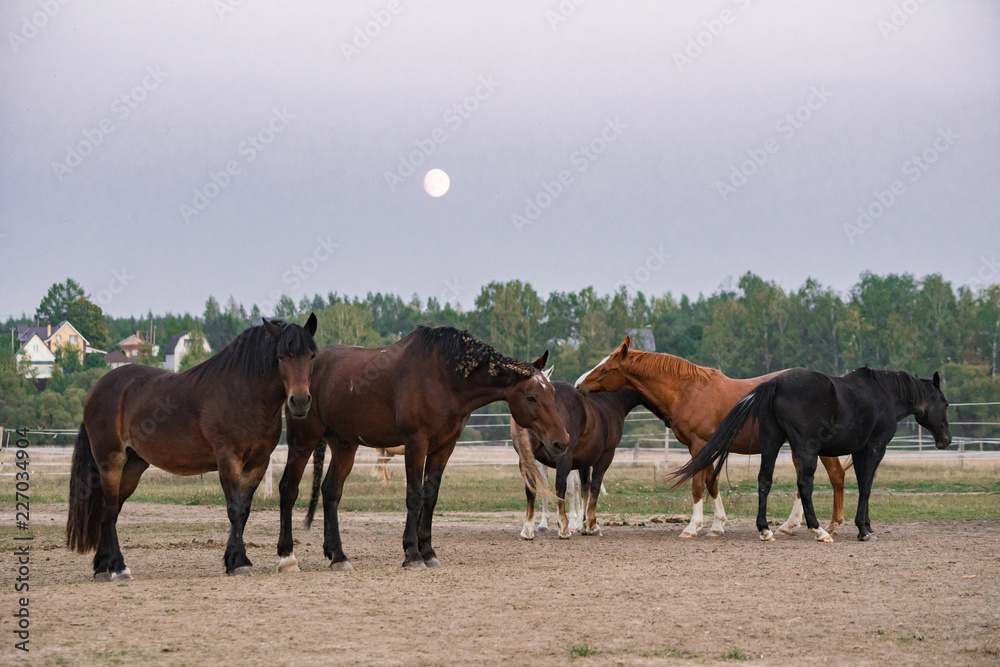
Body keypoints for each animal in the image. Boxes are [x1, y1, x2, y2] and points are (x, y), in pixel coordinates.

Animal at [67, 314, 316, 580]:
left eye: (311, 355)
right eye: (281, 357)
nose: (300, 401)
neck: (242, 394)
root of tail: (96, 390)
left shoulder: (258, 464)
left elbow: (245, 511)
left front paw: (232, 559)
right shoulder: (228, 460)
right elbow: (234, 509)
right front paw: (240, 562)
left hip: (133, 466)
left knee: (110, 512)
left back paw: (104, 567)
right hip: (111, 461)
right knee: (109, 508)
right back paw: (119, 566)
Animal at [276, 326, 572, 572]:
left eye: (552, 394)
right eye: (531, 397)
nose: (562, 441)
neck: (444, 377)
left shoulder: (444, 447)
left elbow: (431, 496)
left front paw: (428, 551)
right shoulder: (416, 444)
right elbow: (415, 496)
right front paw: (412, 555)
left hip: (344, 445)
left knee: (330, 492)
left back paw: (337, 556)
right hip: (303, 440)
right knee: (288, 488)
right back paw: (287, 557)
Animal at [508, 378, 648, 540]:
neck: (610, 401)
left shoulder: (584, 461)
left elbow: (584, 487)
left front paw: (584, 523)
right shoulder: (605, 456)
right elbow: (594, 487)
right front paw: (591, 525)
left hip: (527, 458)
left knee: (531, 488)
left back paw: (528, 529)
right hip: (563, 458)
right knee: (560, 486)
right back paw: (563, 528)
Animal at [576, 336, 848, 540]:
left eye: (605, 369)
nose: (578, 384)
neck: (688, 391)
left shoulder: (699, 446)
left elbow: (698, 484)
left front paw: (692, 526)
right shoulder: (703, 448)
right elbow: (711, 482)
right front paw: (717, 526)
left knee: (834, 475)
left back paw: (830, 525)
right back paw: (792, 525)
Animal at [668, 368, 948, 544]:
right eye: (945, 404)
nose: (946, 439)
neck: (884, 394)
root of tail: (776, 384)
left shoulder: (859, 452)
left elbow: (862, 486)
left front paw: (866, 526)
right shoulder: (873, 449)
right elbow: (866, 488)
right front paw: (864, 530)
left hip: (771, 443)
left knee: (764, 480)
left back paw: (765, 529)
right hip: (806, 450)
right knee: (804, 484)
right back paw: (819, 530)